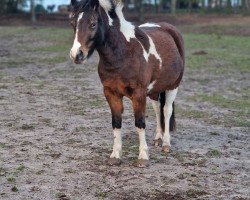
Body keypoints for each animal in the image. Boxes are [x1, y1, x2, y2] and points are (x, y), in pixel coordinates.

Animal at [69, 0, 185, 167]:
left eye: (92, 24)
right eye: (73, 24)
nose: (77, 54)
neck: (123, 53)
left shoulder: (139, 94)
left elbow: (140, 122)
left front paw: (143, 157)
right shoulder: (111, 93)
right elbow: (116, 122)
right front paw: (115, 155)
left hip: (173, 86)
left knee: (166, 111)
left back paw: (166, 144)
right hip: (154, 90)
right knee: (158, 109)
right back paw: (158, 138)